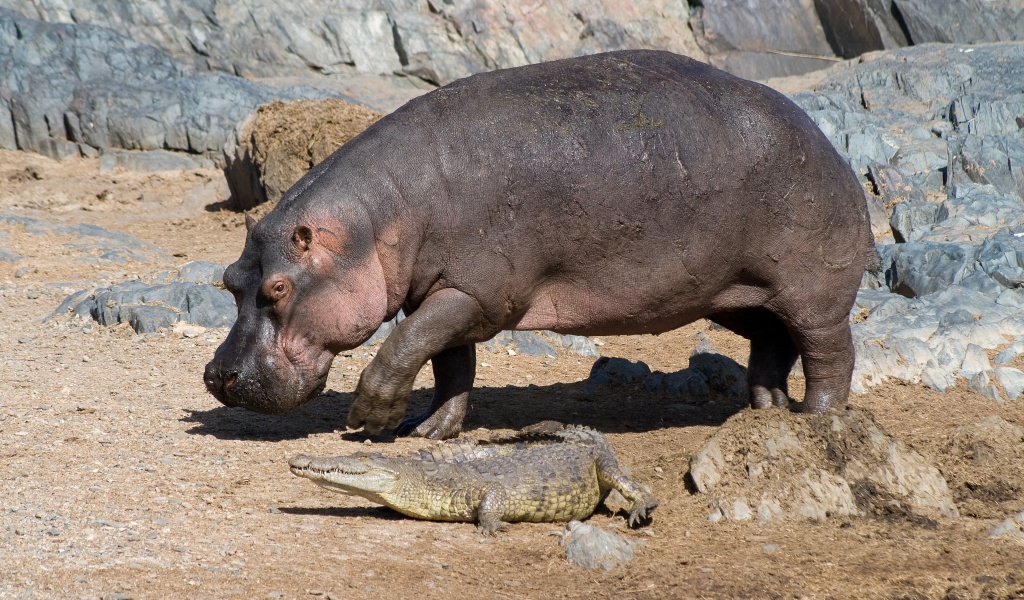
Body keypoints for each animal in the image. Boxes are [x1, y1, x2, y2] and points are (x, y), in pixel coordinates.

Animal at [203, 47, 876, 438]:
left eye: (278, 287)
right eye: (230, 281)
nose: (217, 376)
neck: (375, 221)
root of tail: (826, 142)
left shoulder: (474, 293)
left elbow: (403, 348)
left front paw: (370, 421)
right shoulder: (445, 292)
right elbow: (447, 364)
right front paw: (429, 429)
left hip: (810, 291)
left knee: (829, 351)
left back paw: (816, 419)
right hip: (736, 293)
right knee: (772, 342)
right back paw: (764, 410)